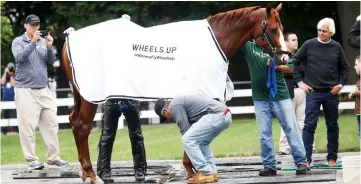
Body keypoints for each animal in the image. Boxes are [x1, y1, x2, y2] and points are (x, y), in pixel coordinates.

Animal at [62, 2, 286, 184]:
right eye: (273, 29)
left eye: (281, 28)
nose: (284, 58)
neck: (213, 42)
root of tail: (69, 39)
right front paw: (192, 171)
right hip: (90, 97)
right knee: (82, 127)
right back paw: (92, 175)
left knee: (74, 122)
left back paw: (84, 172)